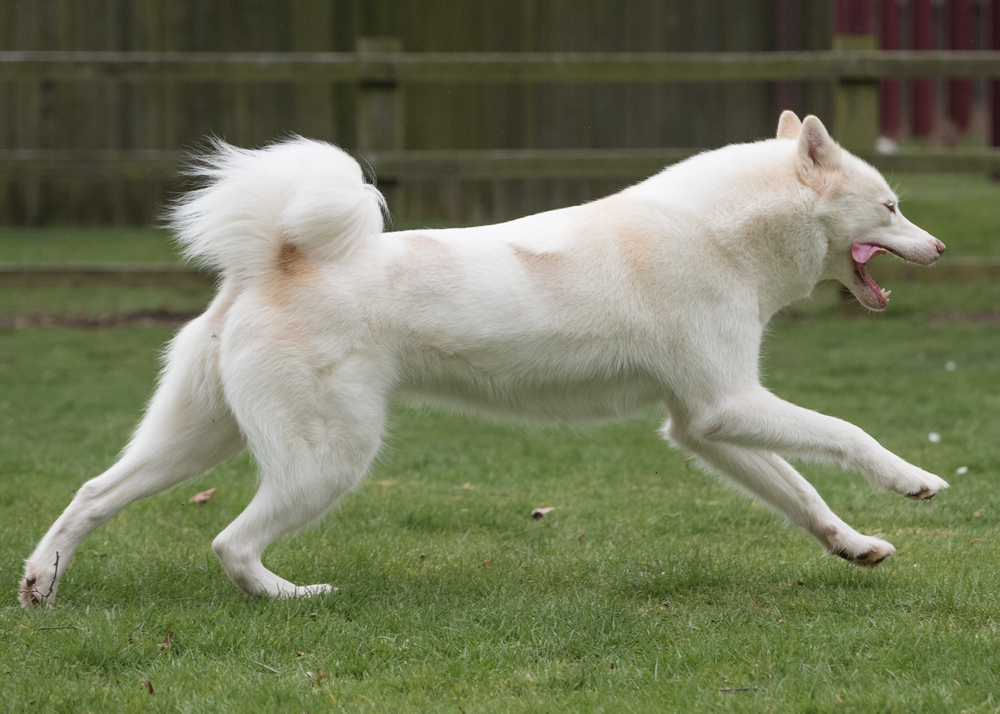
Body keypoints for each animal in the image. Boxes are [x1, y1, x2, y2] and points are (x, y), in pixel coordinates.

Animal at [19, 111, 948, 608]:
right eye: (892, 207)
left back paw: (39, 584)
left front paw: (854, 545)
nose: (940, 248)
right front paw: (911, 481)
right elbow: (847, 433)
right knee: (229, 544)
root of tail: (277, 258)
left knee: (92, 495)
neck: (722, 231)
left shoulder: (703, 424)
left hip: (191, 440)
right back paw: (294, 598)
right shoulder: (728, 406)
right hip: (327, 461)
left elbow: (802, 494)